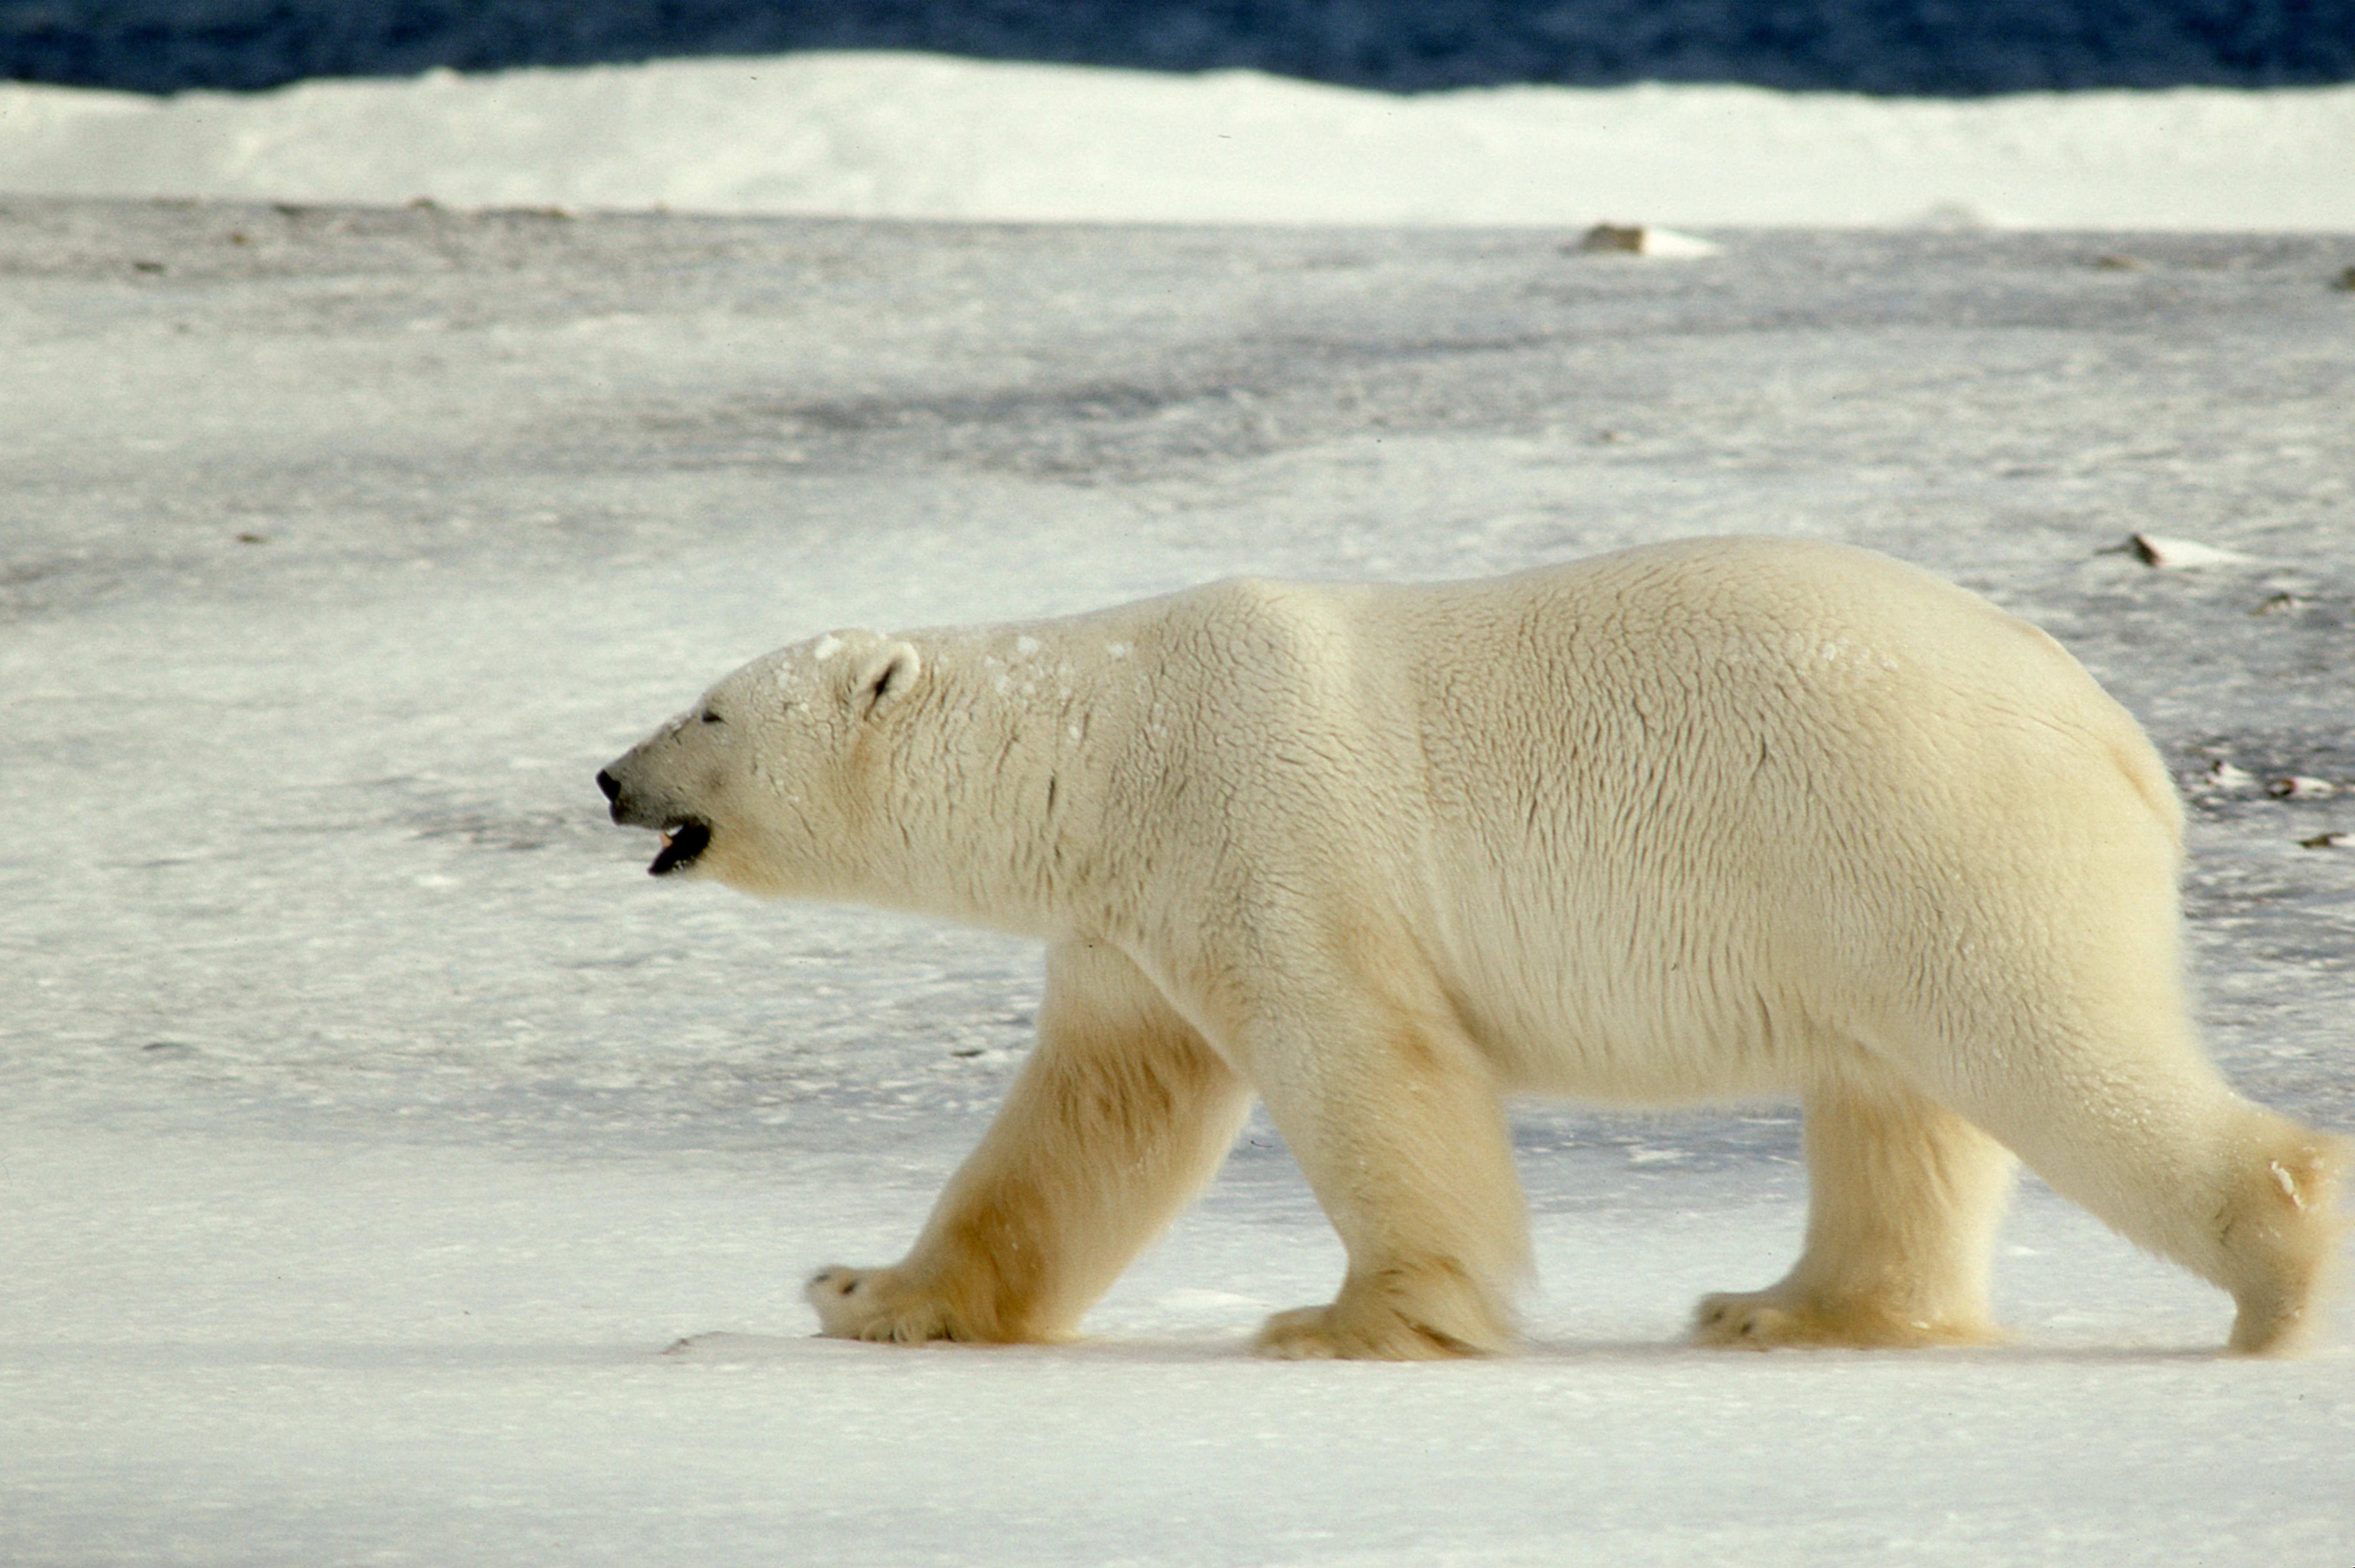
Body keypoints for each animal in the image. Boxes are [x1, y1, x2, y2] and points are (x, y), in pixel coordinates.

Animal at [603, 532, 2336, 1347]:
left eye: (708, 708)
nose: (611, 776)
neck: (1108, 745)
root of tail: (2117, 735)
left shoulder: (1268, 829)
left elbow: (1367, 1065)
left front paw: (1352, 1321)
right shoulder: (1125, 926)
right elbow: (1089, 1117)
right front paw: (869, 1292)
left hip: (1926, 828)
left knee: (2045, 1051)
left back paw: (2278, 1273)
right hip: (1871, 885)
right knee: (1899, 1108)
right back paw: (1784, 1307)